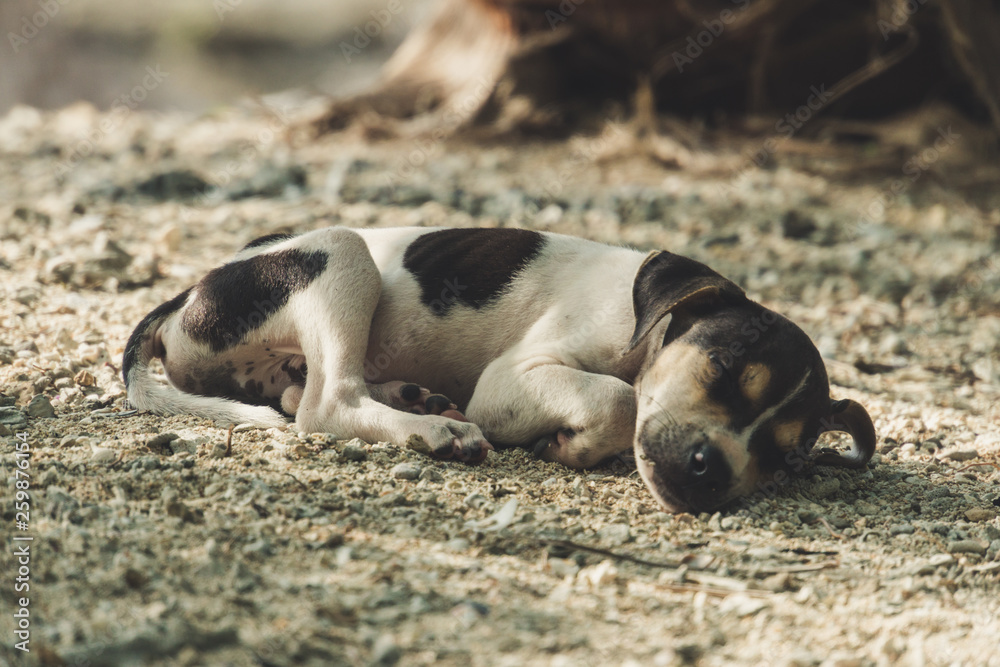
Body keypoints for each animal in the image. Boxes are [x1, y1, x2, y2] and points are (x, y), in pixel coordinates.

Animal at [123, 227, 876, 516]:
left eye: (784, 457)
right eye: (719, 369)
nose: (711, 471)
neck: (644, 330)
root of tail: (187, 295)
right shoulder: (509, 380)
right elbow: (619, 401)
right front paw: (570, 442)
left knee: (299, 388)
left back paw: (415, 399)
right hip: (341, 252)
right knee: (324, 402)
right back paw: (435, 431)